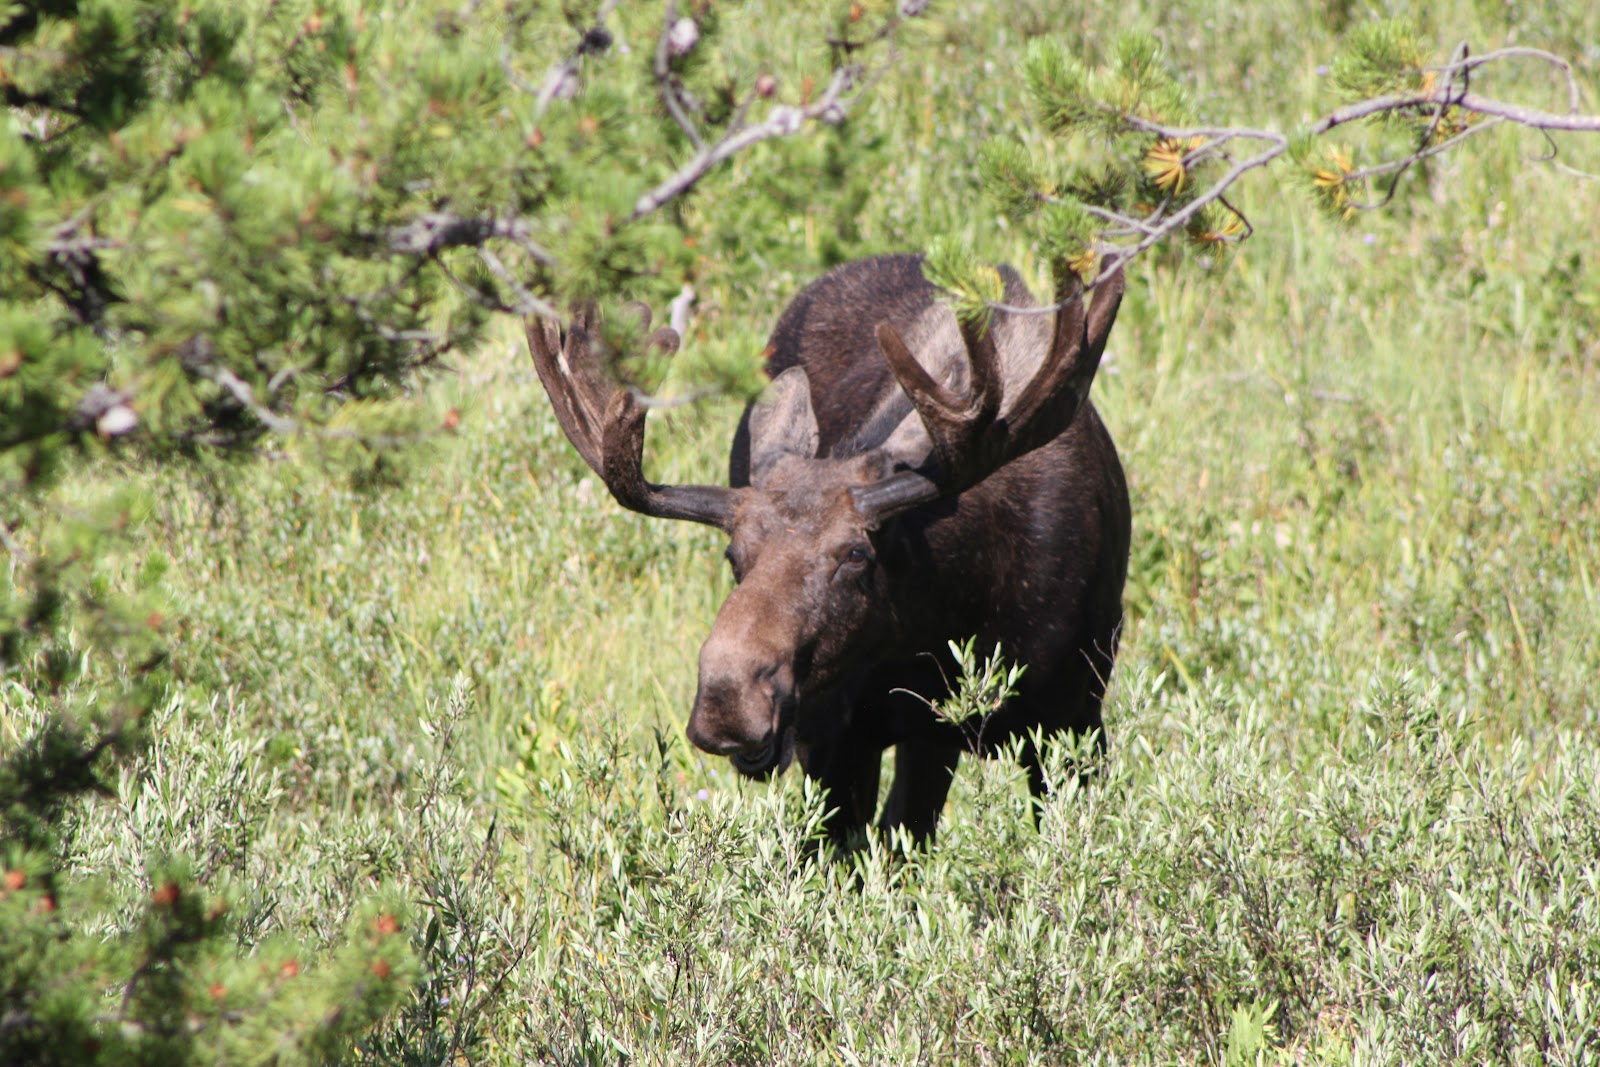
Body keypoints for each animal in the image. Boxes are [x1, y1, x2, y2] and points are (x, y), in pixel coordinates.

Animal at [526, 253, 1129, 846]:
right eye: (734, 556)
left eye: (856, 555)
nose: (728, 702)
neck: (963, 612)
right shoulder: (838, 736)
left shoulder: (1075, 719)